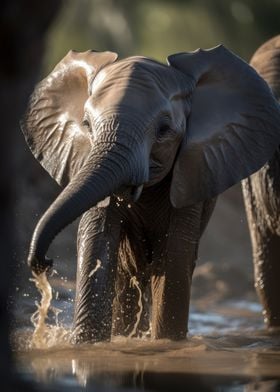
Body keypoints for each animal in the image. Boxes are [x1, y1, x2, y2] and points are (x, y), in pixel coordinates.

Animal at [22, 44, 280, 342]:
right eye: (86, 125)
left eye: (164, 130)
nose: (43, 262)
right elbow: (96, 241)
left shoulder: (191, 172)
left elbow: (174, 257)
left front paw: (166, 343)